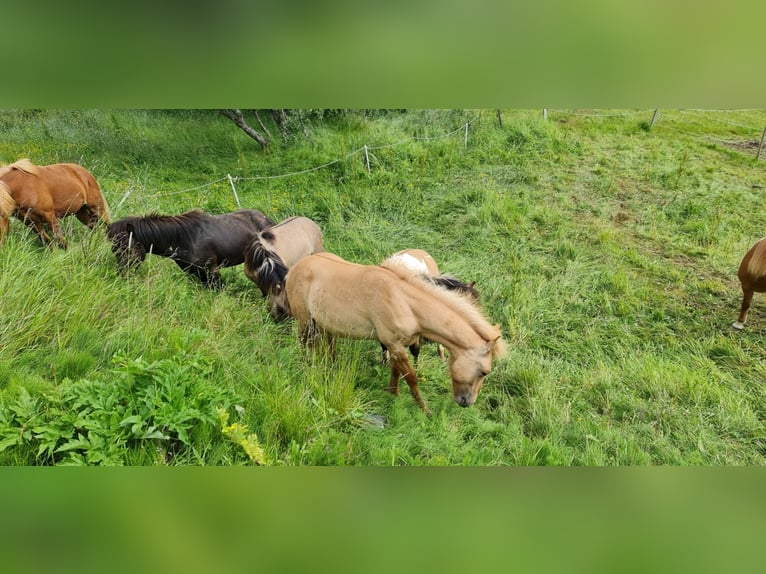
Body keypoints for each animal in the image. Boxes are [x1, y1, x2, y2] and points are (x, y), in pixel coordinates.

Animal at [107, 210, 276, 290]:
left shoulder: (212, 272)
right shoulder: (195, 273)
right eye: (114, 249)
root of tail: (267, 219)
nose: (121, 276)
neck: (184, 239)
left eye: (125, 248)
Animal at [284, 253, 508, 414]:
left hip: (324, 325)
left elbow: (395, 371)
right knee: (303, 345)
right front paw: (425, 410)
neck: (406, 303)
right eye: (484, 372)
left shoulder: (395, 345)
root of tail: (295, 268)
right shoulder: (395, 345)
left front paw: (393, 393)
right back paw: (307, 367)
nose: (467, 402)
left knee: (329, 346)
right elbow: (411, 377)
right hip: (304, 322)